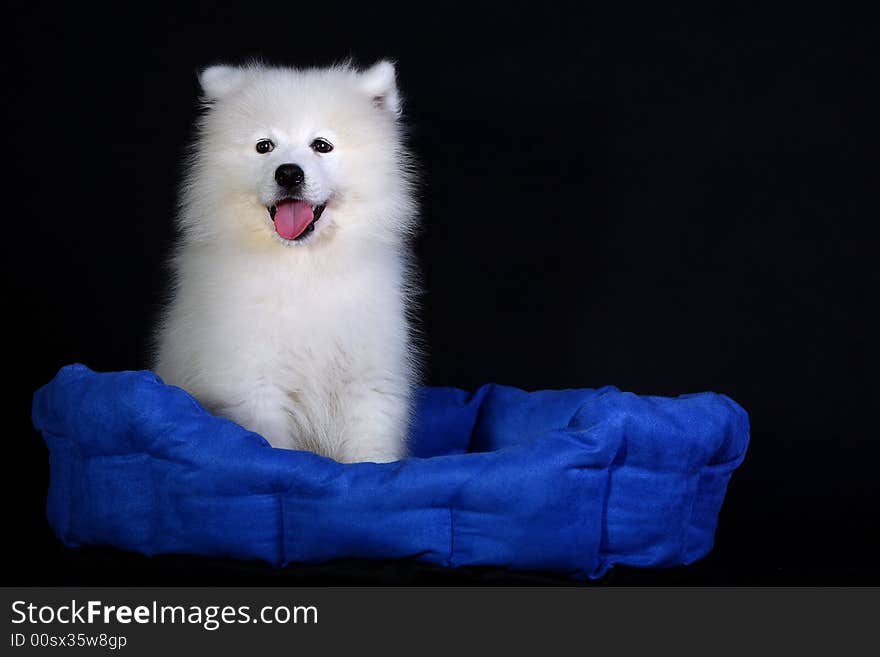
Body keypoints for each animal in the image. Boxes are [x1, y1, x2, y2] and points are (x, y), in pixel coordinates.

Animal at [155, 61, 420, 462]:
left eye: (321, 145)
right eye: (265, 146)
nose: (289, 172)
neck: (303, 267)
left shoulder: (367, 379)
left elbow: (370, 452)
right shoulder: (254, 383)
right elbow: (271, 445)